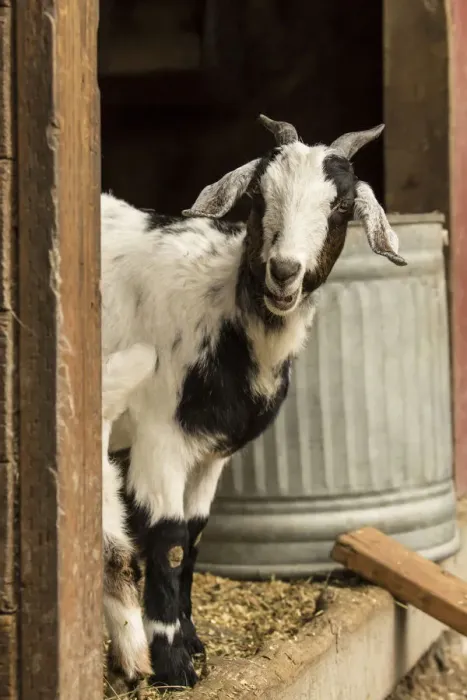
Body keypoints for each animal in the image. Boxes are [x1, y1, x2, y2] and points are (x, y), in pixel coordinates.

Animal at [102, 115, 406, 688]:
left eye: (340, 206)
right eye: (259, 197)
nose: (284, 271)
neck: (220, 307)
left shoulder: (211, 455)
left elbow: (194, 538)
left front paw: (193, 644)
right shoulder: (159, 438)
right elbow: (169, 540)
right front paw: (173, 665)